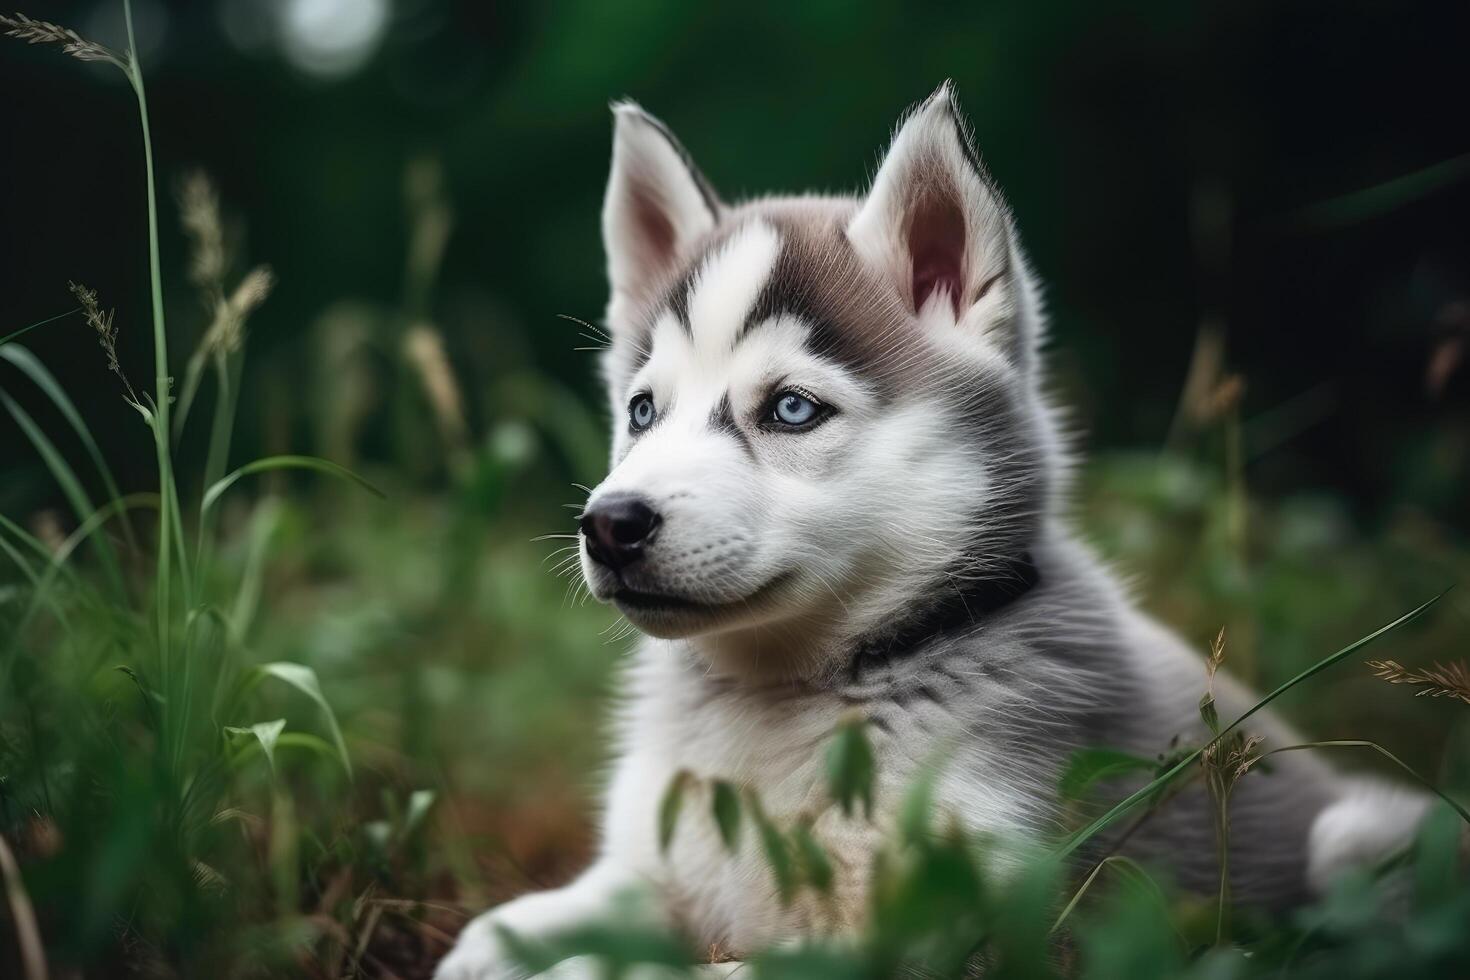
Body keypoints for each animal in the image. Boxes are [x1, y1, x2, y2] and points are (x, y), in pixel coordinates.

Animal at [435, 84, 1422, 980]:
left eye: (791, 409)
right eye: (642, 411)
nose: (610, 524)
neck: (785, 699)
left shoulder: (940, 930)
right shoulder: (657, 868)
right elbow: (524, 923)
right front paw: (493, 949)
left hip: (1360, 840)